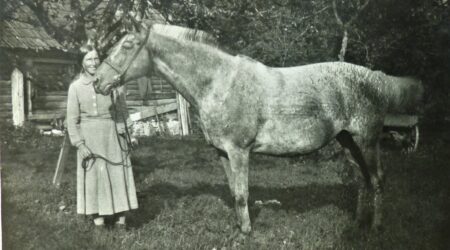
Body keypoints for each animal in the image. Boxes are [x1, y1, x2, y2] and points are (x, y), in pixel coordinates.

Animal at [93, 22, 424, 233]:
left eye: (127, 45)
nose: (97, 81)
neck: (219, 83)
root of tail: (376, 78)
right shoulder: (222, 153)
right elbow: (233, 192)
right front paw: (239, 229)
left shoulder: (240, 151)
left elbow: (242, 193)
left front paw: (247, 234)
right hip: (347, 141)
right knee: (362, 180)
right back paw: (357, 224)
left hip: (367, 140)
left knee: (377, 180)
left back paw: (376, 227)